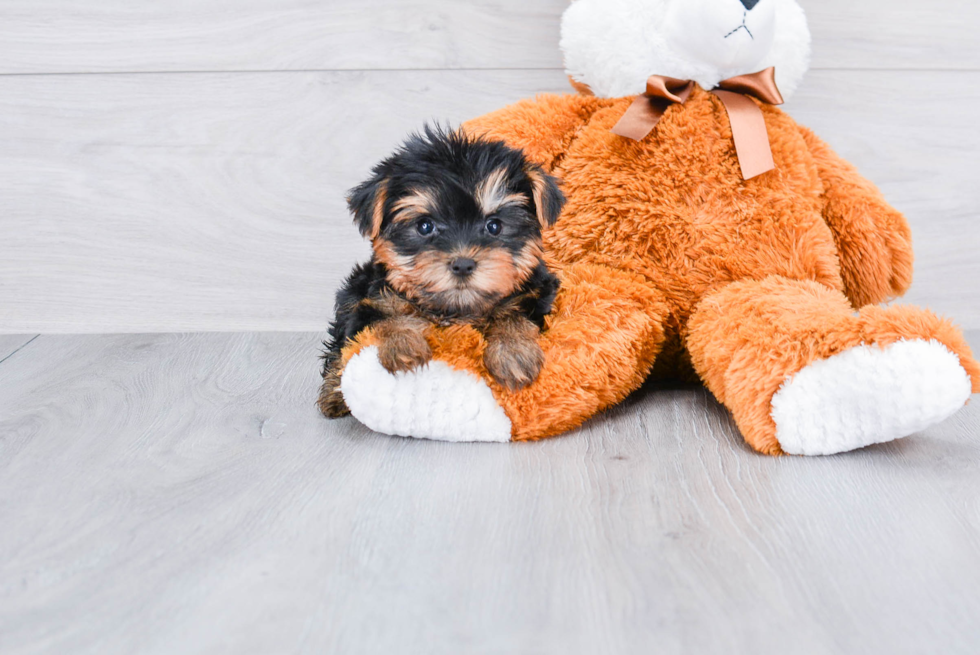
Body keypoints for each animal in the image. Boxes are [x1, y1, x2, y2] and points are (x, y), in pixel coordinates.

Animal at [320, 125, 568, 418]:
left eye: (494, 226)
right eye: (424, 226)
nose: (463, 264)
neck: (454, 308)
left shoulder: (538, 292)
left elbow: (516, 315)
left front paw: (513, 353)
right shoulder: (372, 299)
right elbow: (386, 317)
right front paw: (403, 344)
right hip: (353, 290)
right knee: (340, 345)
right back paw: (334, 393)